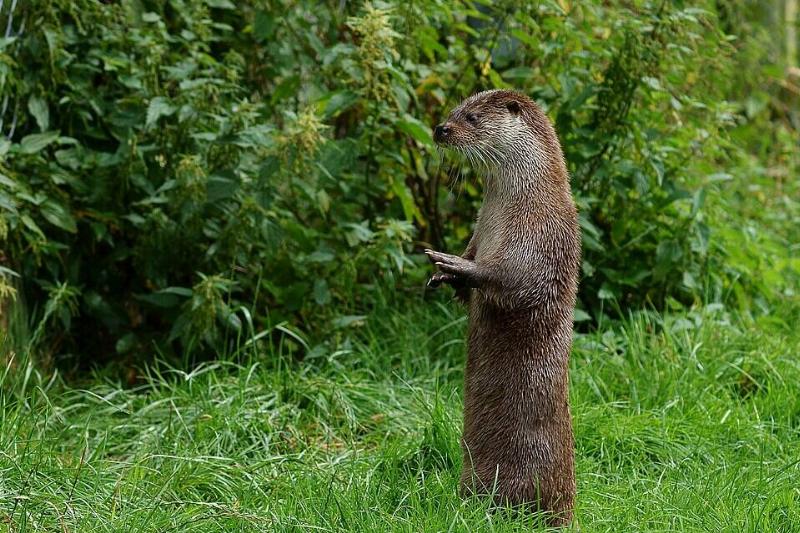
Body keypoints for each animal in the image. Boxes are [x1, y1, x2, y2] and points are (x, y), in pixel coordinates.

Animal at [425, 90, 580, 526]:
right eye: (454, 111)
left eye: (472, 119)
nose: (441, 129)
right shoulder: (479, 232)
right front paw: (443, 276)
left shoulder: (540, 233)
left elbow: (514, 280)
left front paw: (455, 265)